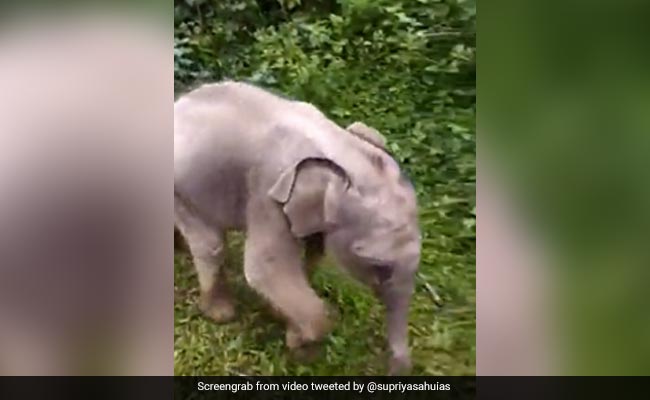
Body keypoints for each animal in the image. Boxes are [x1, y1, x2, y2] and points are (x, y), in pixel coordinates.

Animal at [174, 81, 421, 375]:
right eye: (379, 267)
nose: (393, 369)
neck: (339, 146)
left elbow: (311, 253)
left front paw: (287, 323)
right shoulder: (267, 191)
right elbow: (265, 269)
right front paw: (303, 349)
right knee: (210, 244)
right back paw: (220, 313)